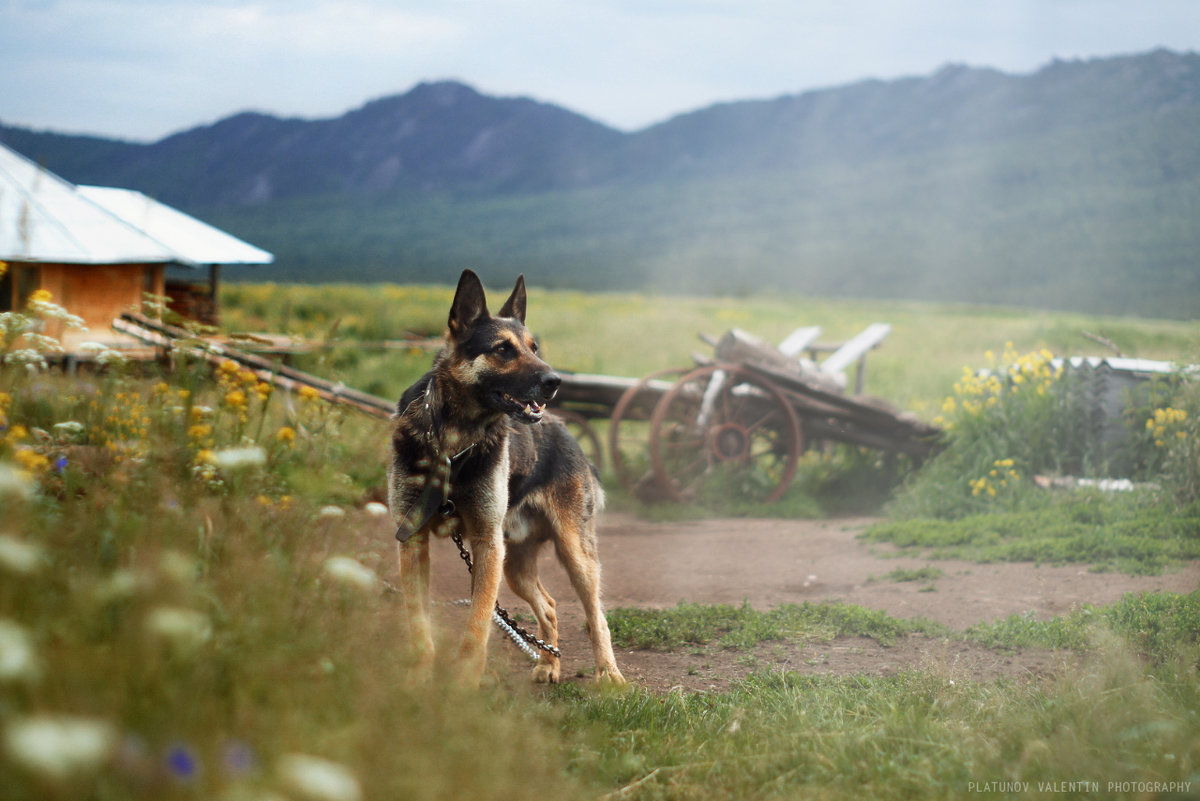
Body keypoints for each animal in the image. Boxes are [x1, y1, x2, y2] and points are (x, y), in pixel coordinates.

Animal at [388, 268, 628, 690]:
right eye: (503, 349)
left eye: (534, 347)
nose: (555, 381)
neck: (453, 441)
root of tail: (568, 435)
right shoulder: (413, 543)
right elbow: (419, 624)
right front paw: (419, 680)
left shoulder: (486, 546)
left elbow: (477, 625)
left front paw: (463, 687)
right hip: (515, 565)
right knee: (549, 606)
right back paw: (549, 665)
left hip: (574, 555)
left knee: (596, 616)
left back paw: (609, 674)